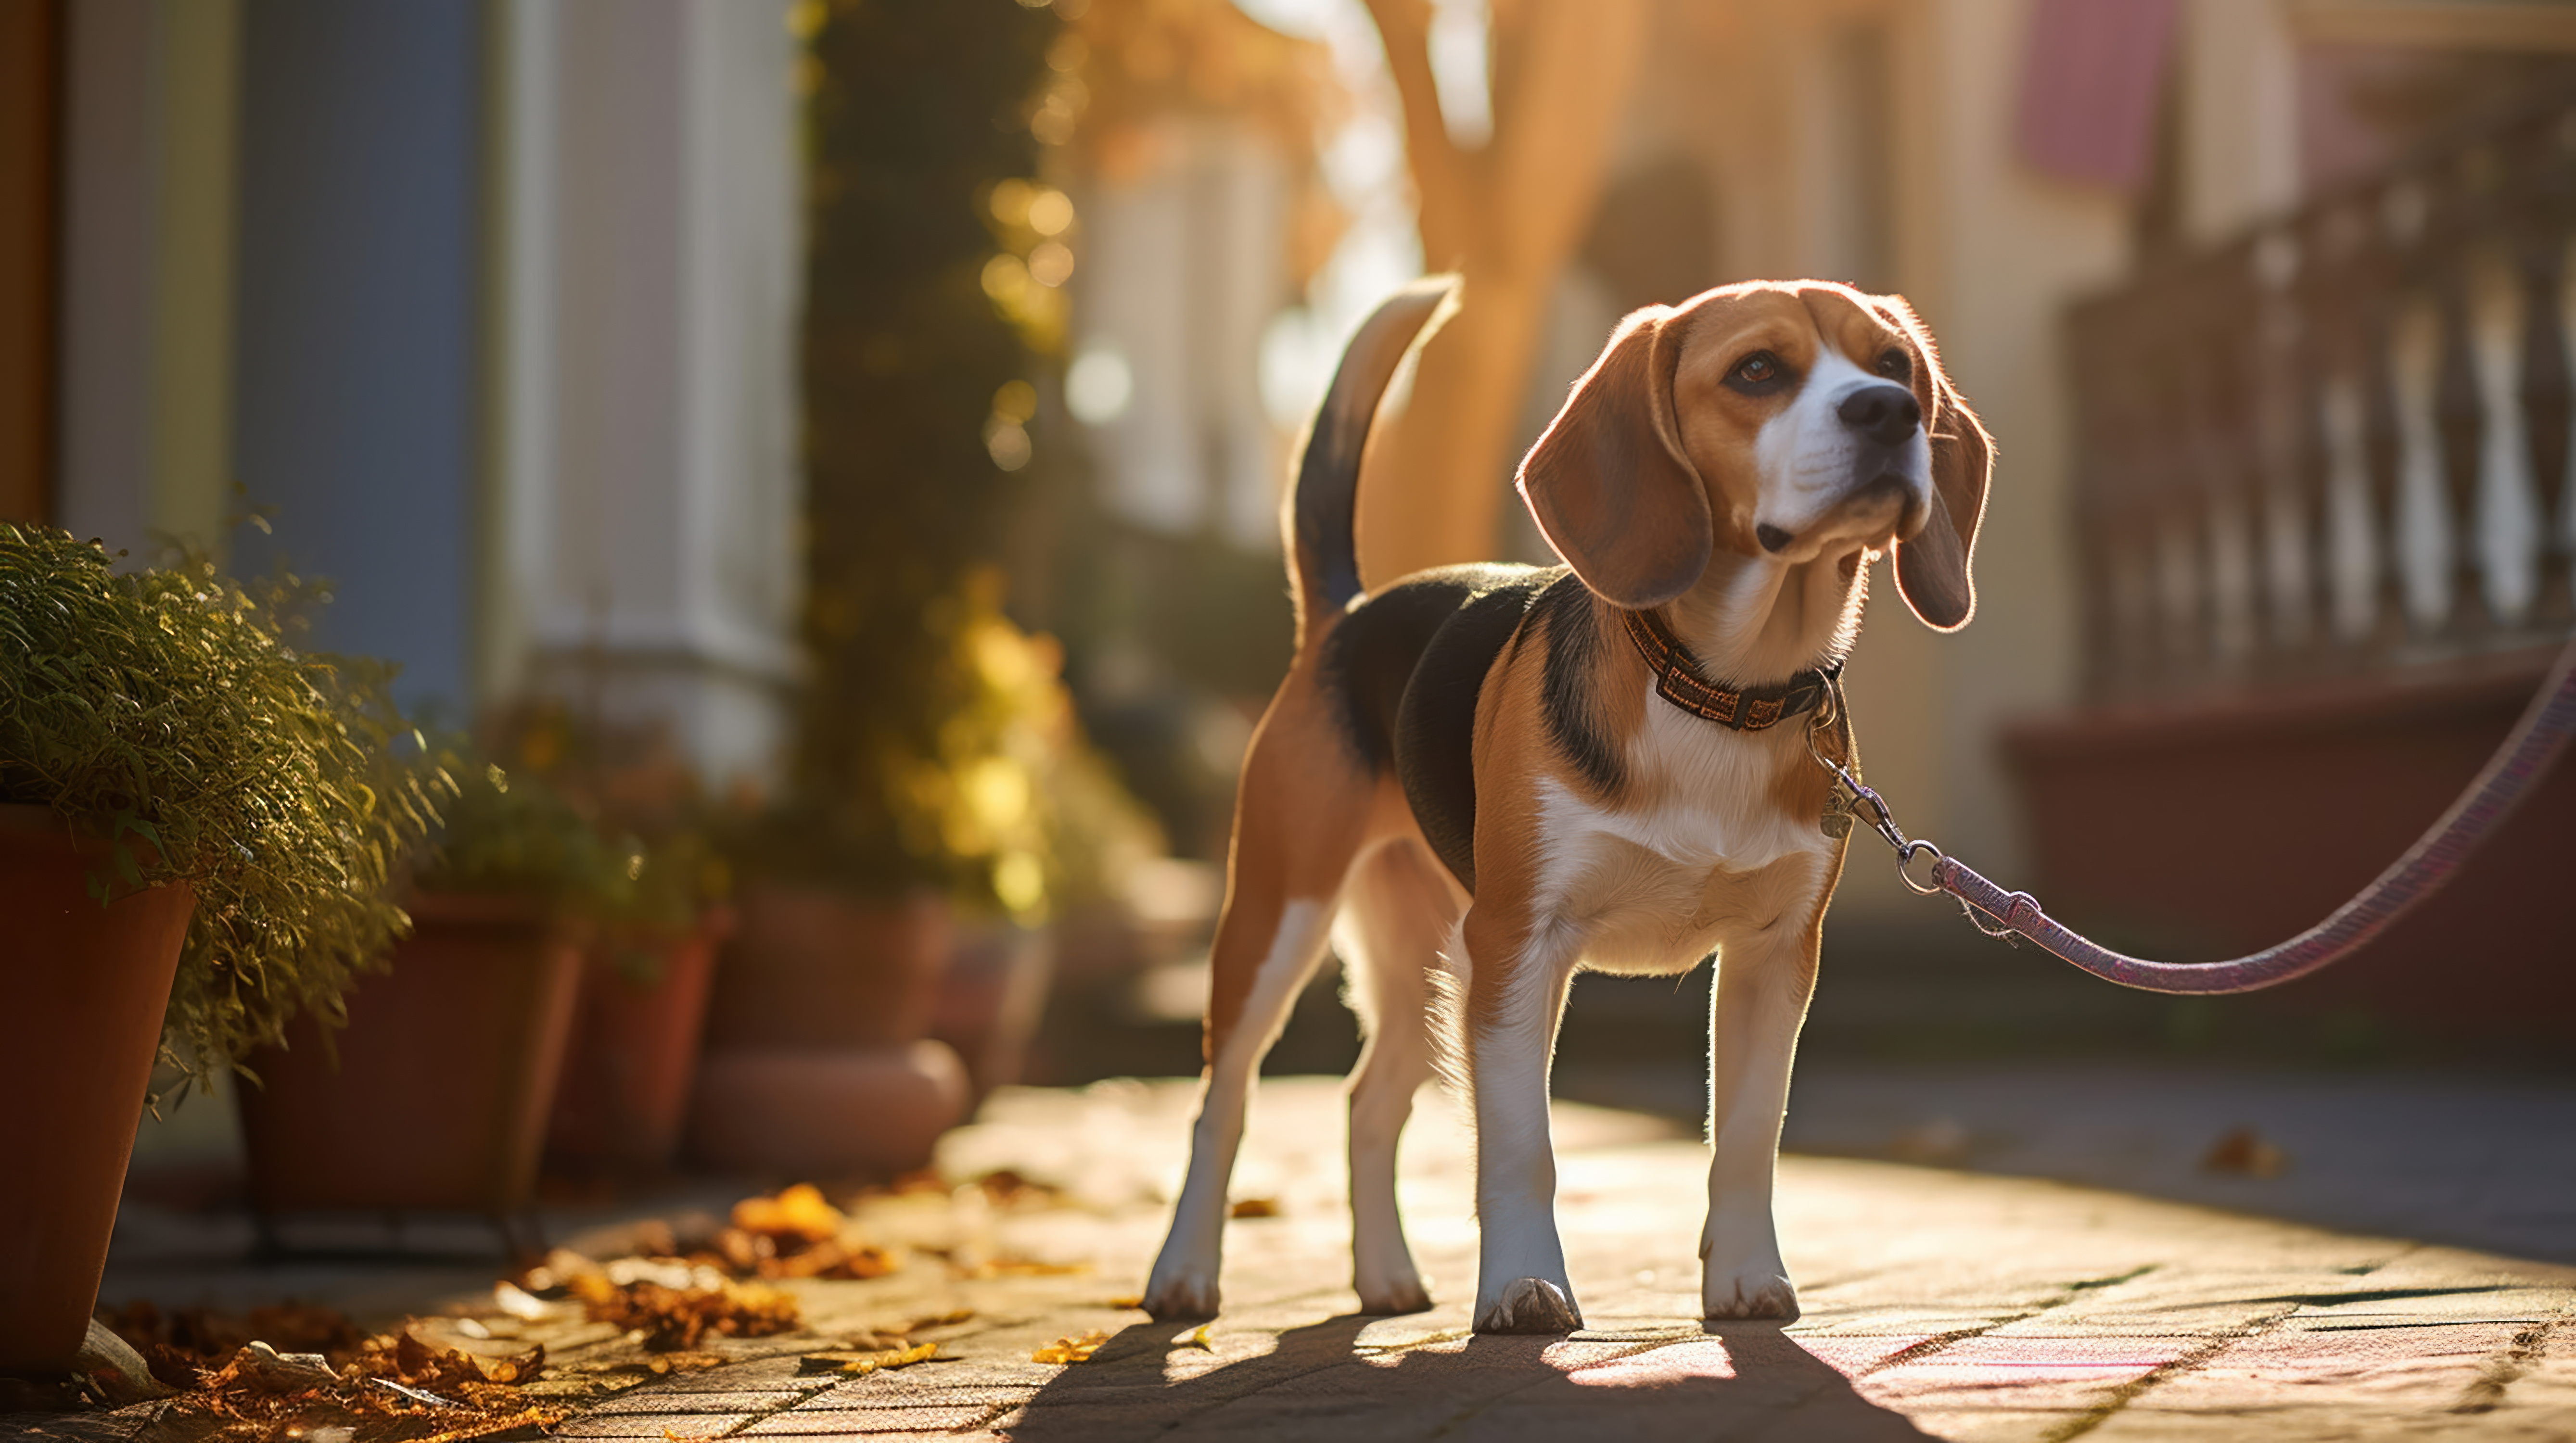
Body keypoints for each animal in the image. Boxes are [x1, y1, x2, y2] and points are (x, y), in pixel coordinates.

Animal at [1144, 276, 1989, 1340]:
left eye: (1892, 366)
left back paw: (1385, 1278)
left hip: (1428, 961)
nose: (1889, 413)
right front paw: (1519, 1289)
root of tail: (1347, 616)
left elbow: (1747, 1136)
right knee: (1222, 1103)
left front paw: (1746, 1279)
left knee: (1366, 1104)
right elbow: (1520, 1146)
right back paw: (1182, 1274)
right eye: (1756, 370)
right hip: (1280, 922)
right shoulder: (1518, 944)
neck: (1720, 692)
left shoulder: (1773, 957)